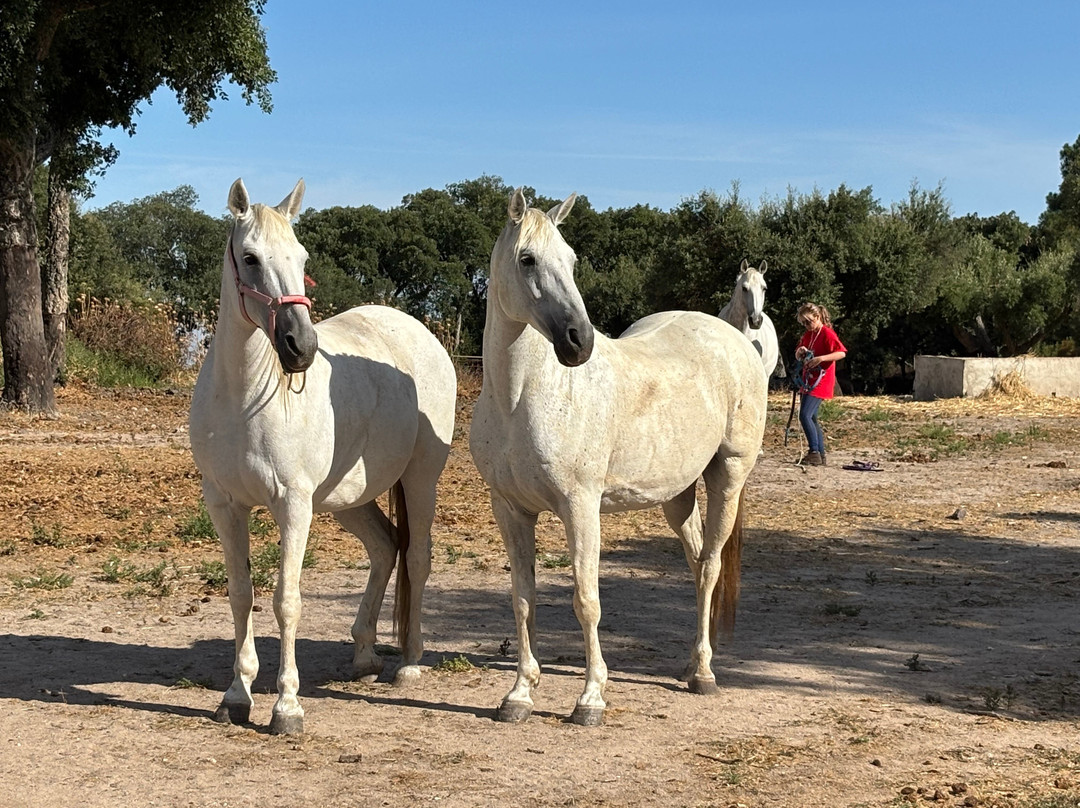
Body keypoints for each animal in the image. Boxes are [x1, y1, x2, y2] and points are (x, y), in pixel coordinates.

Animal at [189, 178, 457, 735]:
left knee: (416, 557)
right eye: (250, 258)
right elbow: (241, 594)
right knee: (384, 547)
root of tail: (420, 333)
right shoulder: (225, 505)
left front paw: (287, 705)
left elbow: (286, 601)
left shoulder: (293, 505)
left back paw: (409, 664)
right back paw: (364, 654)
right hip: (345, 499)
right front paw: (236, 695)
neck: (243, 399)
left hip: (419, 479)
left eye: (302, 257)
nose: (300, 346)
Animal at [469, 189, 767, 726]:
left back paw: (705, 674)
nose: (578, 341)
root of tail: (738, 340)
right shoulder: (510, 509)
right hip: (676, 495)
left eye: (571, 260)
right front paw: (519, 695)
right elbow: (523, 600)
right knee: (696, 564)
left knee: (710, 566)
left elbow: (586, 600)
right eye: (527, 259)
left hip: (728, 478)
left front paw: (591, 699)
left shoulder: (580, 507)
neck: (521, 397)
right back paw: (690, 665)